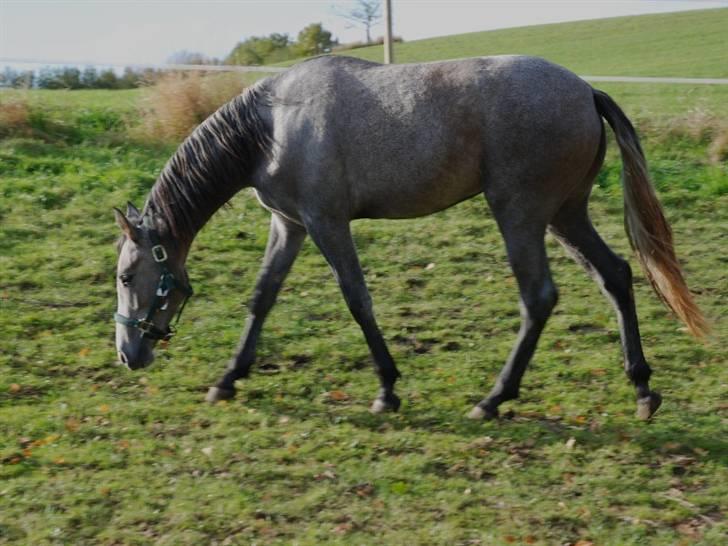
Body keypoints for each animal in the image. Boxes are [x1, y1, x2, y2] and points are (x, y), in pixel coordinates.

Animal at [114, 55, 704, 418]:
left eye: (125, 275)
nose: (127, 353)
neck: (273, 125)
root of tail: (585, 91)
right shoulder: (290, 225)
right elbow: (262, 297)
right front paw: (228, 379)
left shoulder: (327, 223)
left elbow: (357, 298)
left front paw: (387, 389)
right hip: (565, 215)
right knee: (616, 276)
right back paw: (642, 387)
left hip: (521, 216)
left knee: (538, 297)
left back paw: (494, 399)